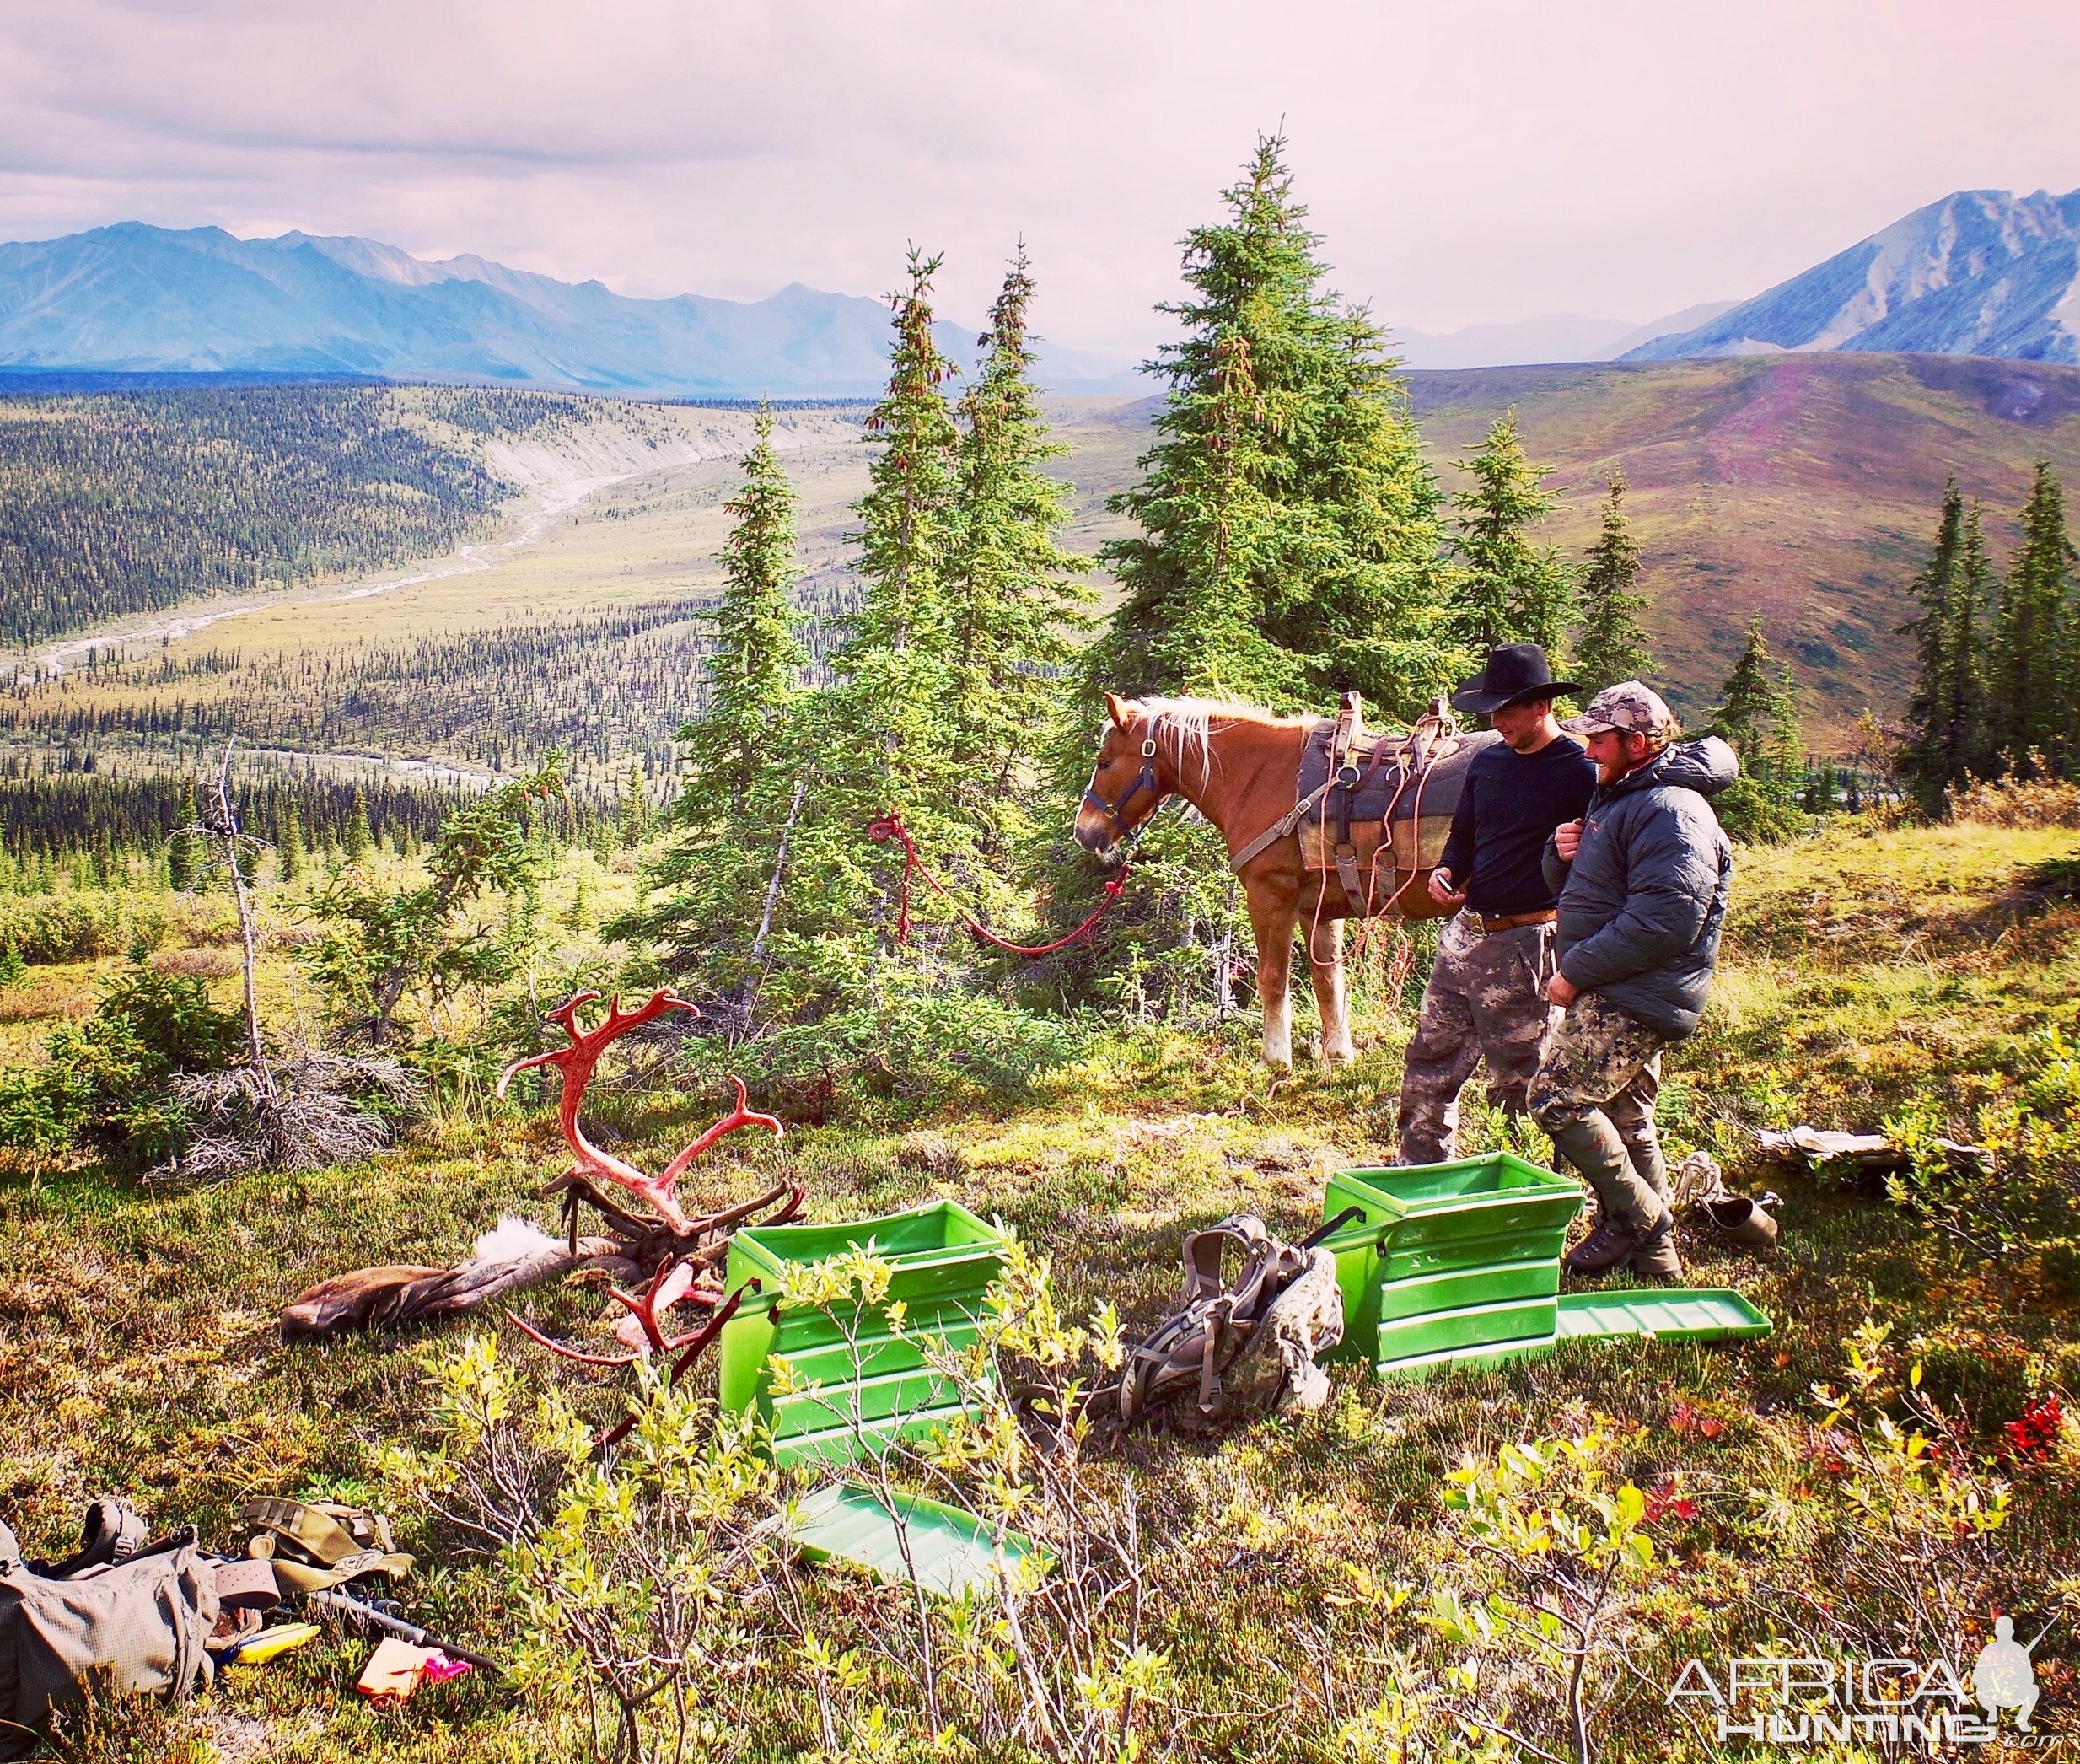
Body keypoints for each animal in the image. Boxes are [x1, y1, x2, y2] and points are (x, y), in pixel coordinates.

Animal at [1081, 694, 1455, 1065]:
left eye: (1105, 762)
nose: (1083, 831)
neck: (1262, 777)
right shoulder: (1319, 910)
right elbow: (1327, 980)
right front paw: (1337, 1056)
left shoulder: (1271, 896)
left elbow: (1273, 979)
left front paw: (1274, 1058)